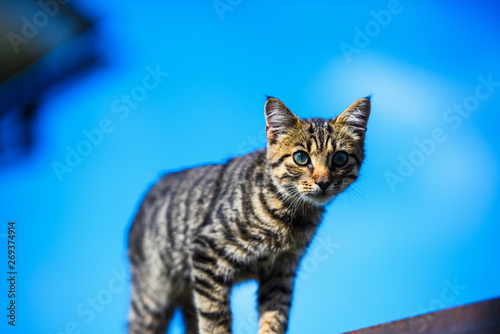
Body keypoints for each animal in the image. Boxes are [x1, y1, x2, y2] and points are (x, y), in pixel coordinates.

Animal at [128, 95, 372, 332]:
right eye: (301, 158)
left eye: (340, 158)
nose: (323, 182)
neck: (292, 217)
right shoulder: (206, 252)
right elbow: (215, 318)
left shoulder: (281, 271)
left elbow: (275, 315)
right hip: (152, 296)